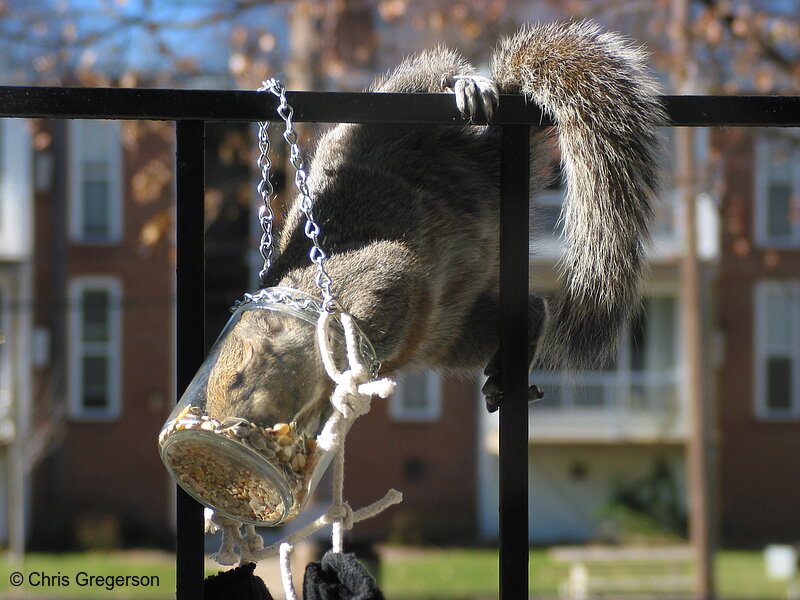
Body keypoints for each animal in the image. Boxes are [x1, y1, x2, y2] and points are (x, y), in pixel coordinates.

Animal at [205, 19, 664, 426]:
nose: (233, 423)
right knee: (529, 311)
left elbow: (375, 307)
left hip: (386, 120)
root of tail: (479, 167)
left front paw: (338, 381)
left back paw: (467, 84)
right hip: (453, 333)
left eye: (242, 376)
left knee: (427, 75)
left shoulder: (375, 277)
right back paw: (504, 370)